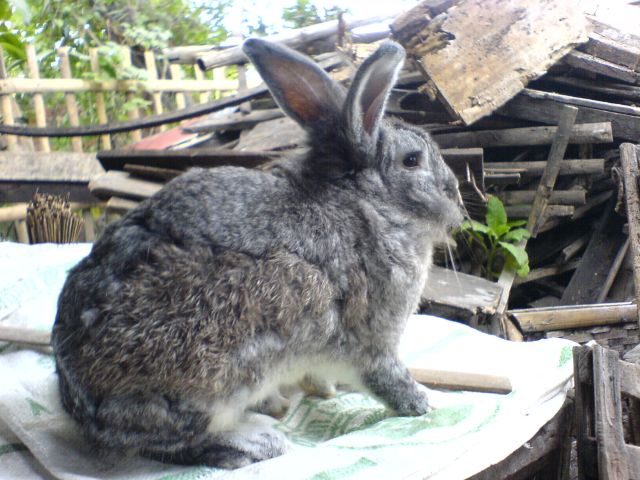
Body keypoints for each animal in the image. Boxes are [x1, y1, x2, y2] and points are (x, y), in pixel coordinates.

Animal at [51, 38, 464, 469]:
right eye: (412, 160)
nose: (457, 194)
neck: (371, 204)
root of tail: (84, 411)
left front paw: (325, 391)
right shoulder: (372, 341)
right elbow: (391, 381)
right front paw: (429, 403)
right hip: (211, 374)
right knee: (175, 443)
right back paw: (259, 442)